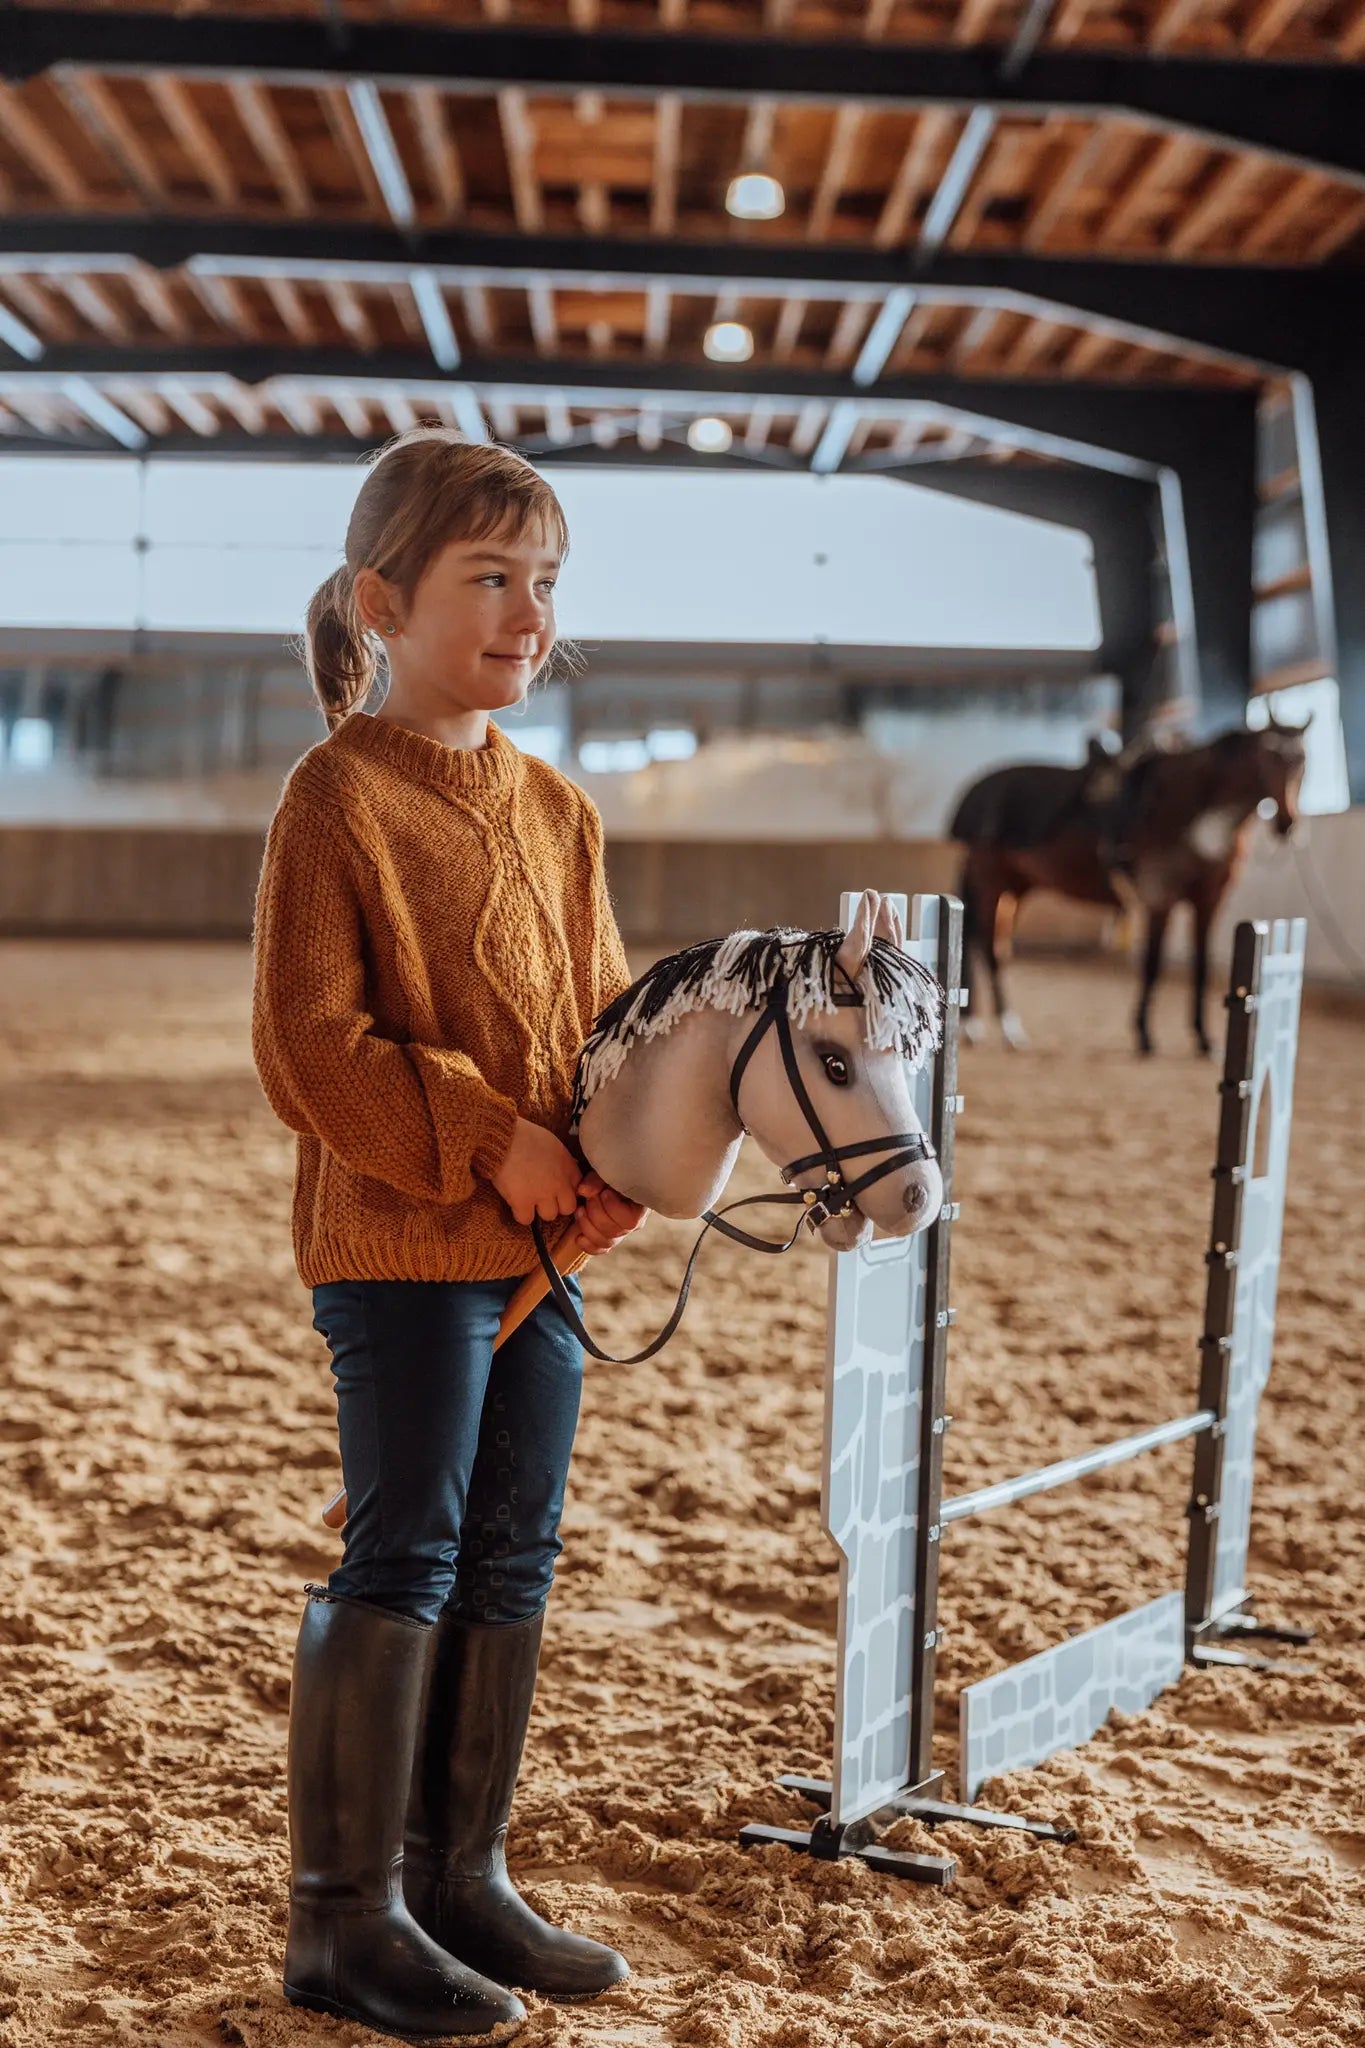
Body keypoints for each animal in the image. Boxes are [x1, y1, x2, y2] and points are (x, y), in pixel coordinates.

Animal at [950, 719, 1308, 1056]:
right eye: (1268, 757)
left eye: (1302, 761)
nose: (1287, 822)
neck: (1195, 810)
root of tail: (977, 792)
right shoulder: (1160, 898)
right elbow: (1152, 965)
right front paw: (1145, 1035)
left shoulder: (1209, 901)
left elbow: (1202, 968)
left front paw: (1205, 1039)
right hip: (991, 881)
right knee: (990, 950)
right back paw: (1007, 1029)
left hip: (1016, 886)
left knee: (985, 943)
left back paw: (979, 1025)